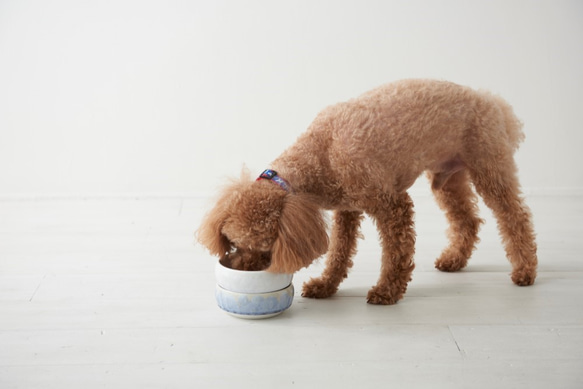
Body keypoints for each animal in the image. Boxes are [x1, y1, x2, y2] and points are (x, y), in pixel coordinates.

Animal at [197, 79, 540, 304]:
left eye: (265, 250)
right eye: (234, 243)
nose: (242, 270)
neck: (320, 152)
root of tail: (490, 100)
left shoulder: (392, 204)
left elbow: (397, 253)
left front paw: (388, 291)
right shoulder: (346, 209)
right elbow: (339, 252)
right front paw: (325, 285)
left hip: (489, 169)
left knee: (515, 216)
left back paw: (525, 270)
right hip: (447, 180)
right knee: (467, 220)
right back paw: (454, 260)